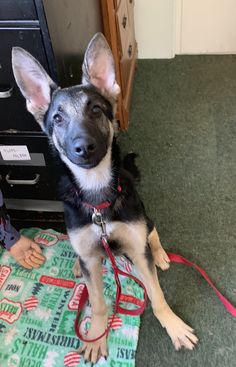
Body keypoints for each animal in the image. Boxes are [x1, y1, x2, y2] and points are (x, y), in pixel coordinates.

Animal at [12, 33, 198, 364]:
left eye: (96, 110)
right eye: (57, 118)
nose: (83, 148)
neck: (97, 197)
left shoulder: (136, 248)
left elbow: (157, 295)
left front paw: (173, 325)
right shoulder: (91, 257)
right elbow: (97, 301)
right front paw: (97, 334)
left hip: (143, 217)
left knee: (152, 231)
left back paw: (160, 253)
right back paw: (77, 265)